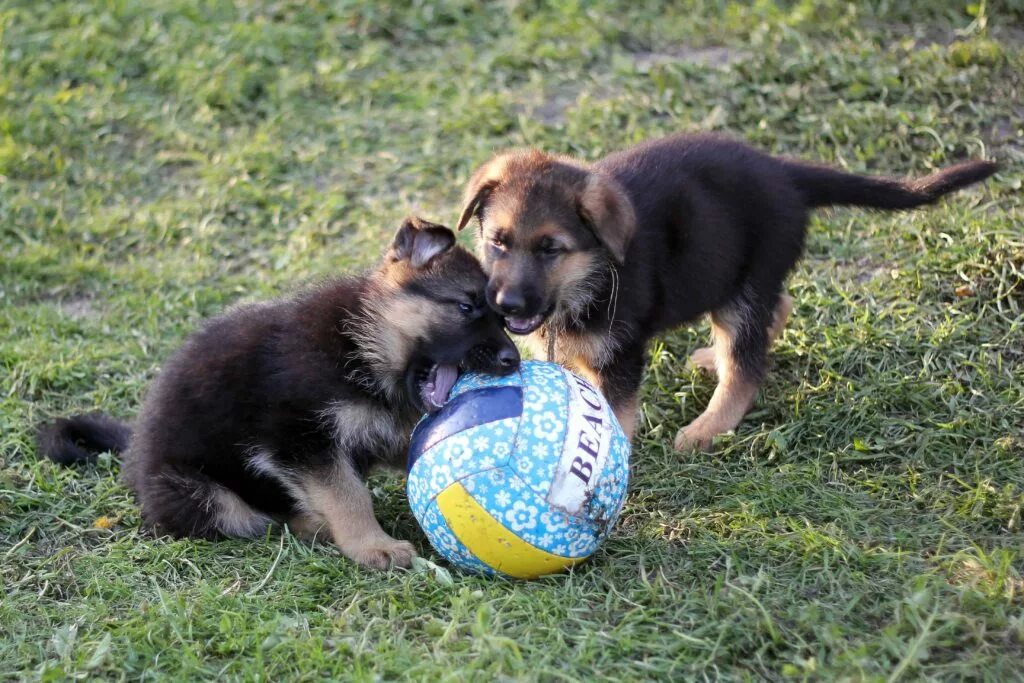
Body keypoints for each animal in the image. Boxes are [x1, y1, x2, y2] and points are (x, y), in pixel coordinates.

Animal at [39, 219, 520, 573]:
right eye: (465, 307)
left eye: (500, 316)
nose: (514, 359)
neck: (361, 346)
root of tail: (133, 451)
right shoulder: (299, 439)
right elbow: (348, 495)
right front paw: (372, 546)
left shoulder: (381, 435)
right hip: (203, 493)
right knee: (255, 518)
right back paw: (315, 525)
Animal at [458, 136, 999, 450]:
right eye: (498, 242)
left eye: (551, 249)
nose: (506, 306)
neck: (592, 276)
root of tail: (784, 172)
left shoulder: (620, 358)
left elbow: (616, 418)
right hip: (733, 279)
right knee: (776, 310)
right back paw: (712, 359)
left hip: (747, 285)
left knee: (747, 365)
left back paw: (706, 428)